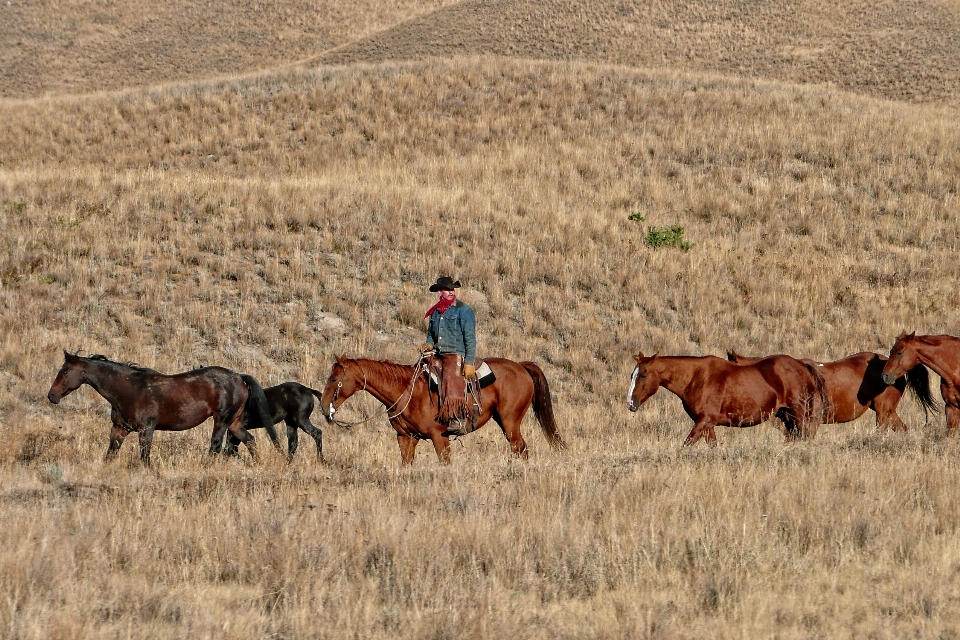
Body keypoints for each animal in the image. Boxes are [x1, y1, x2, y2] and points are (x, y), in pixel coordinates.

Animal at [47, 350, 280, 464]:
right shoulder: (119, 429)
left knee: (215, 447)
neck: (129, 389)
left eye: (65, 371)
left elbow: (145, 458)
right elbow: (110, 454)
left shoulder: (146, 430)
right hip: (234, 423)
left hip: (221, 421)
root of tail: (239, 377)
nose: (52, 396)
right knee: (250, 441)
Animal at [318, 356, 568, 464]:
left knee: (520, 448)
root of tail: (521, 366)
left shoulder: (440, 437)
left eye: (334, 379)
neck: (406, 390)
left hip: (510, 421)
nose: (323, 405)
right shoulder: (405, 437)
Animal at [628, 350, 828, 444]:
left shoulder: (704, 421)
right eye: (632, 374)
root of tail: (801, 364)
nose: (630, 403)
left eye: (643, 375)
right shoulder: (707, 425)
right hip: (784, 417)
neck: (696, 377)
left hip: (799, 415)